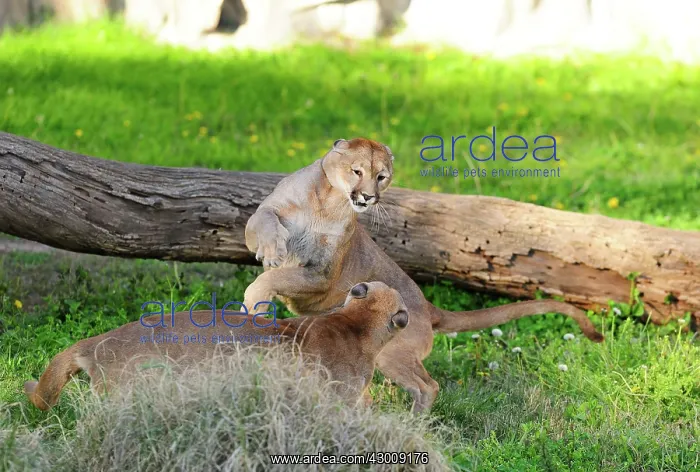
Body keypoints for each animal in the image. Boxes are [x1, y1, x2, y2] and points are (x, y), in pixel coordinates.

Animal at [243, 137, 604, 413]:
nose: (367, 196)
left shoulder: (322, 274)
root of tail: (430, 309)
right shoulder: (264, 217)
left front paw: (254, 300)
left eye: (382, 176)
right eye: (357, 171)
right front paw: (273, 251)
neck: (328, 199)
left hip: (390, 353)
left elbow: (275, 279)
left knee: (428, 385)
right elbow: (263, 222)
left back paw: (412, 421)